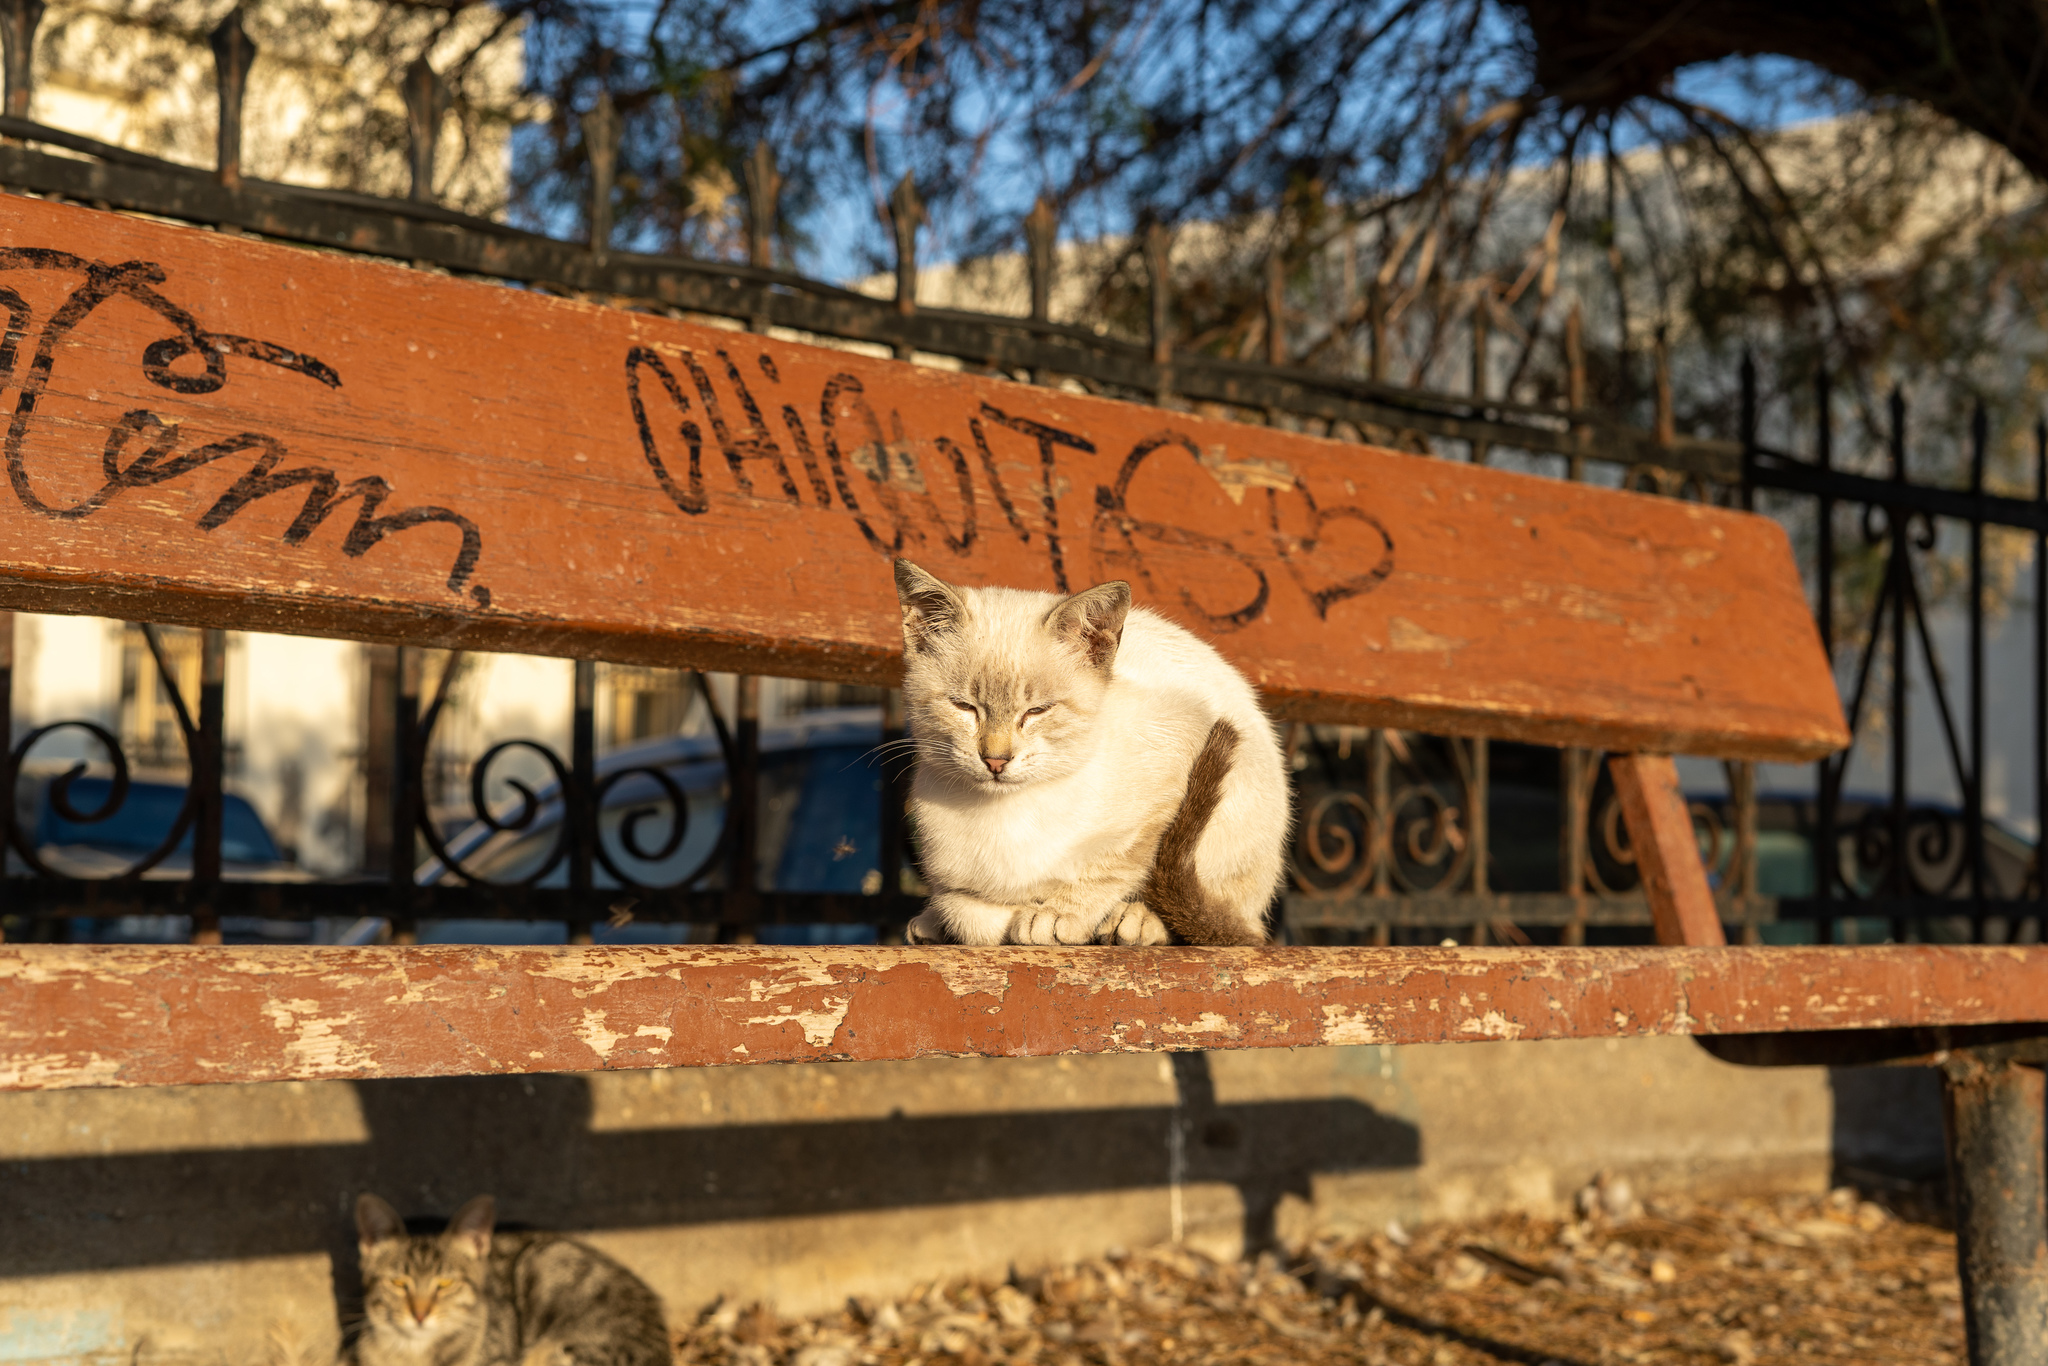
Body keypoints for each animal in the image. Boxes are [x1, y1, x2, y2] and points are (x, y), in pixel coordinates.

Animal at [892, 561, 1286, 946]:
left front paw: (1053, 916)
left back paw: (1134, 922)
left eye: (1037, 711)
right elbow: (962, 908)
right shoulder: (944, 869)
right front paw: (969, 919)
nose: (995, 760)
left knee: (1232, 920)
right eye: (964, 707)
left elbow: (1117, 866)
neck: (1003, 813)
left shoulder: (1174, 766)